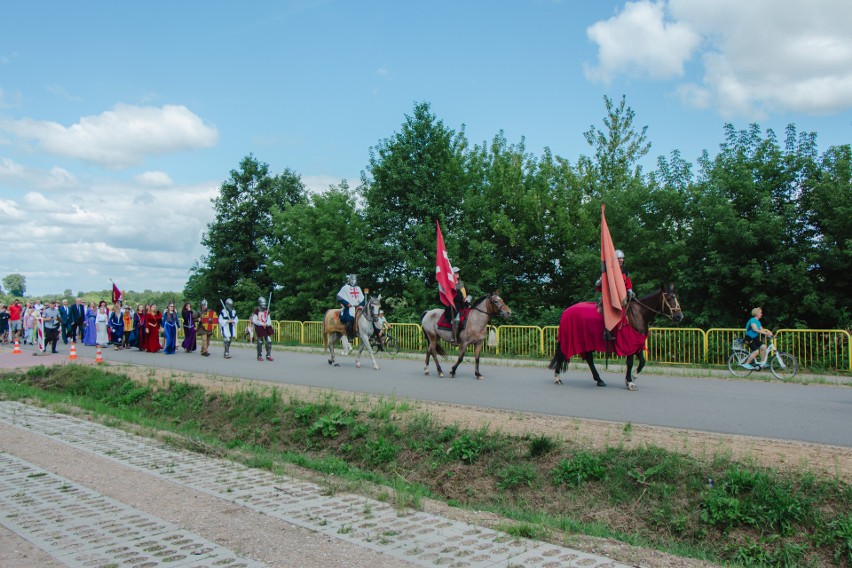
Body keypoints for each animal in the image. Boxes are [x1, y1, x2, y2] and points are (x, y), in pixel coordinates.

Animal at [548, 284, 684, 390]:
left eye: (676, 297)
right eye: (668, 298)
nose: (679, 316)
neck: (638, 314)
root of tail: (566, 311)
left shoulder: (637, 344)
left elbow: (642, 362)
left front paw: (633, 377)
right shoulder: (629, 343)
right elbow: (630, 362)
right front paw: (630, 382)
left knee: (589, 359)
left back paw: (599, 380)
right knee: (564, 354)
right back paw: (557, 377)